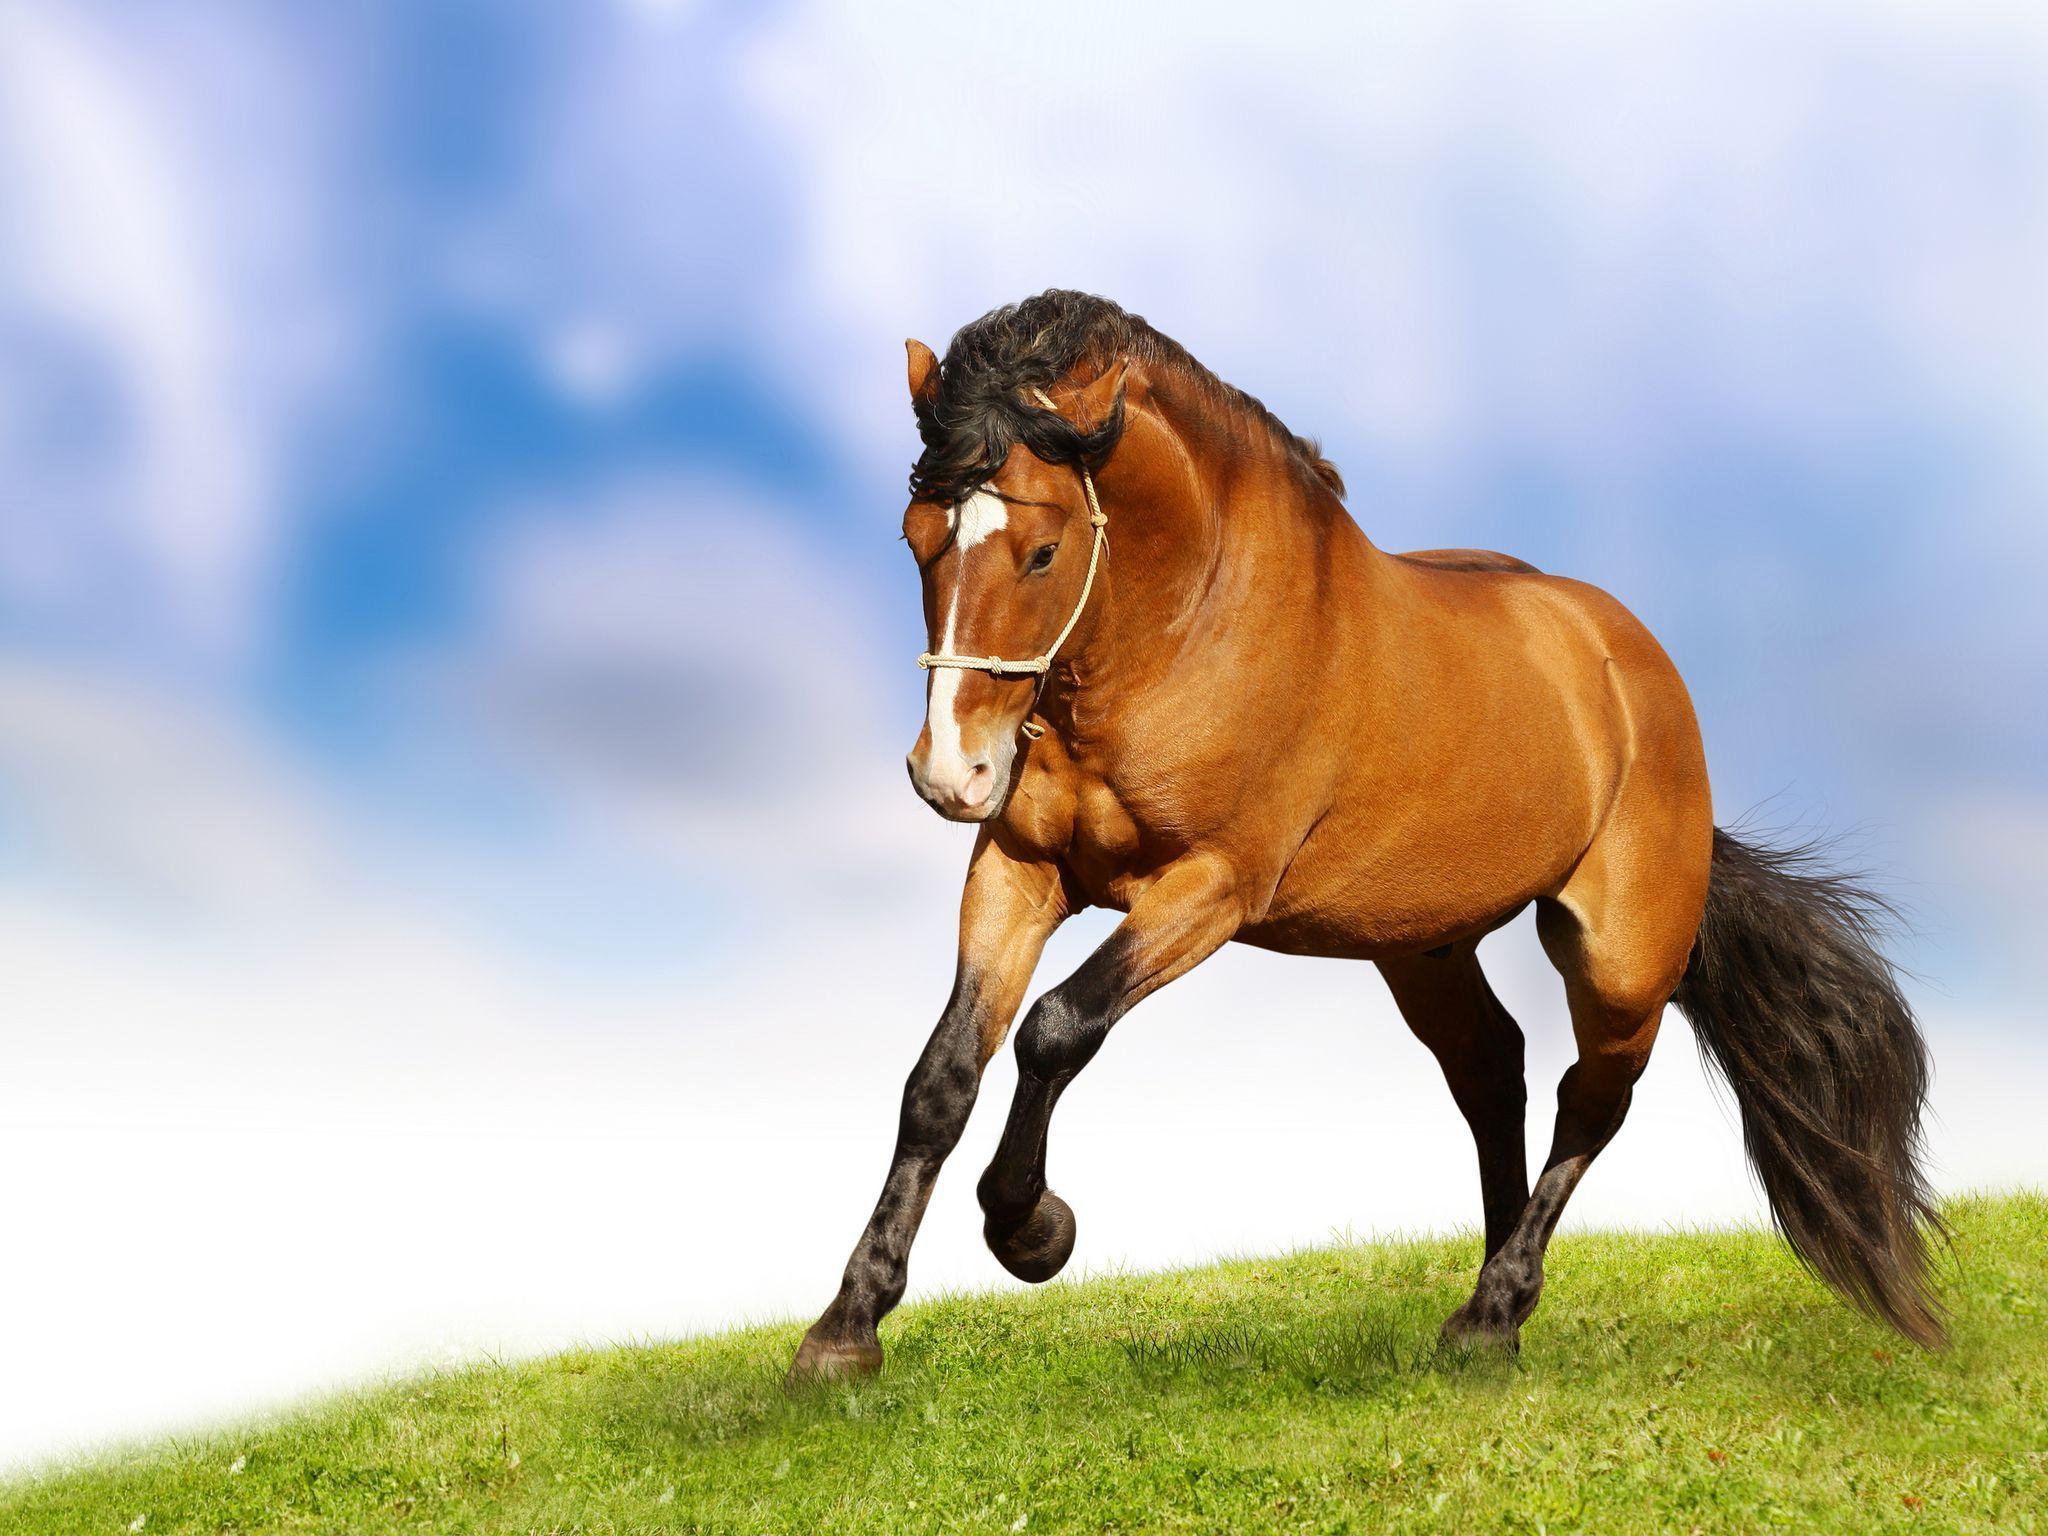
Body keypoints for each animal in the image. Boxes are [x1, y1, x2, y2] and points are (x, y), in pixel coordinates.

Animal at [789, 289, 1941, 1381]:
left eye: (1039, 550)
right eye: (915, 538)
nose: (951, 773)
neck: (1184, 630)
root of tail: (1632, 665)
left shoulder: (1210, 887)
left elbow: (1056, 1028)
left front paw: (1032, 1231)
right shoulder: (1019, 870)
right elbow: (941, 1077)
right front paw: (844, 1333)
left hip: (1619, 956)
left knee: (1592, 1098)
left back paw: (1490, 1313)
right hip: (1421, 945)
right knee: (1493, 1072)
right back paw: (1495, 1308)